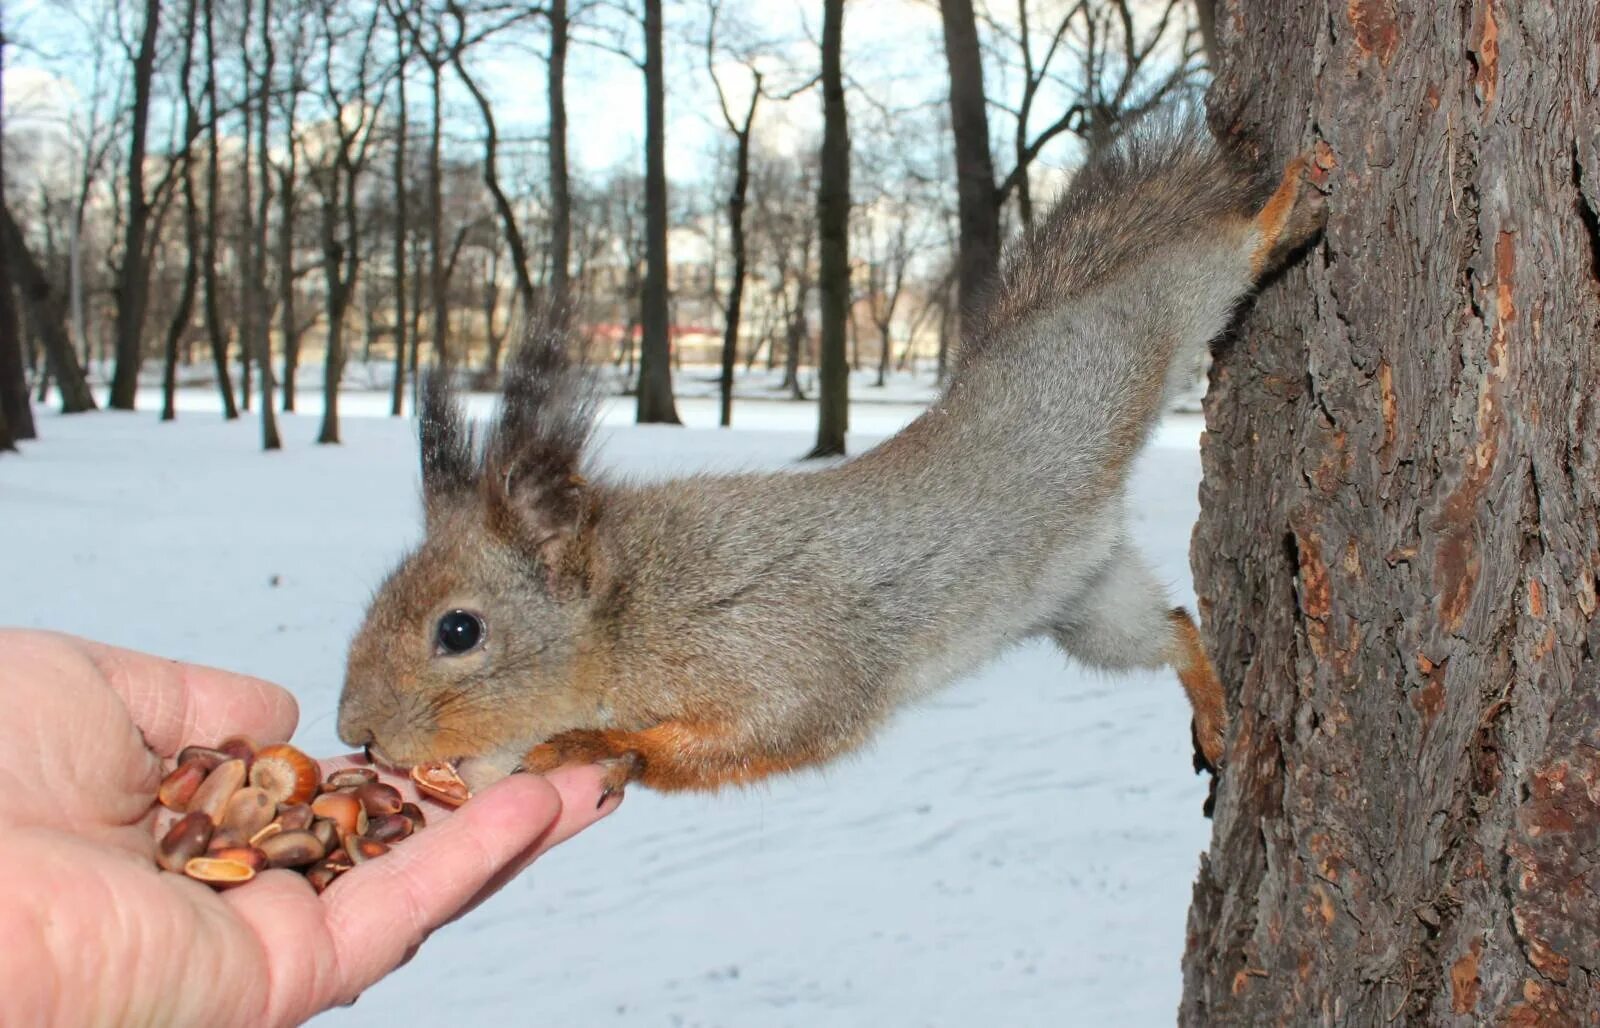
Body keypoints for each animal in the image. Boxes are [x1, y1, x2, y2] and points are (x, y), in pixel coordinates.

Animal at [334, 112, 1324, 800]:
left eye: (459, 631)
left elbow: (768, 733)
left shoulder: (779, 652)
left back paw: (1285, 208)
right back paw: (1212, 710)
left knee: (1203, 267)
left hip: (1130, 332)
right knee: (1174, 629)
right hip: (1086, 605)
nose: (357, 735)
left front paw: (595, 746)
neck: (636, 612)